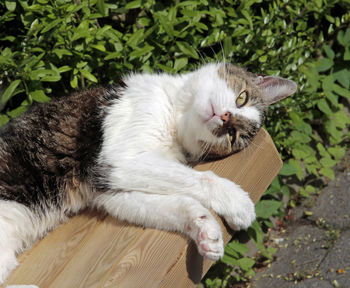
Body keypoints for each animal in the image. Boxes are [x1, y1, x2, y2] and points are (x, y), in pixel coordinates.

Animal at [0, 63, 296, 284]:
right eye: (241, 98)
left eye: (233, 135)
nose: (225, 118)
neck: (175, 116)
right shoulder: (120, 159)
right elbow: (200, 177)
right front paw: (238, 203)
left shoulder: (111, 190)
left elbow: (176, 204)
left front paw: (206, 231)